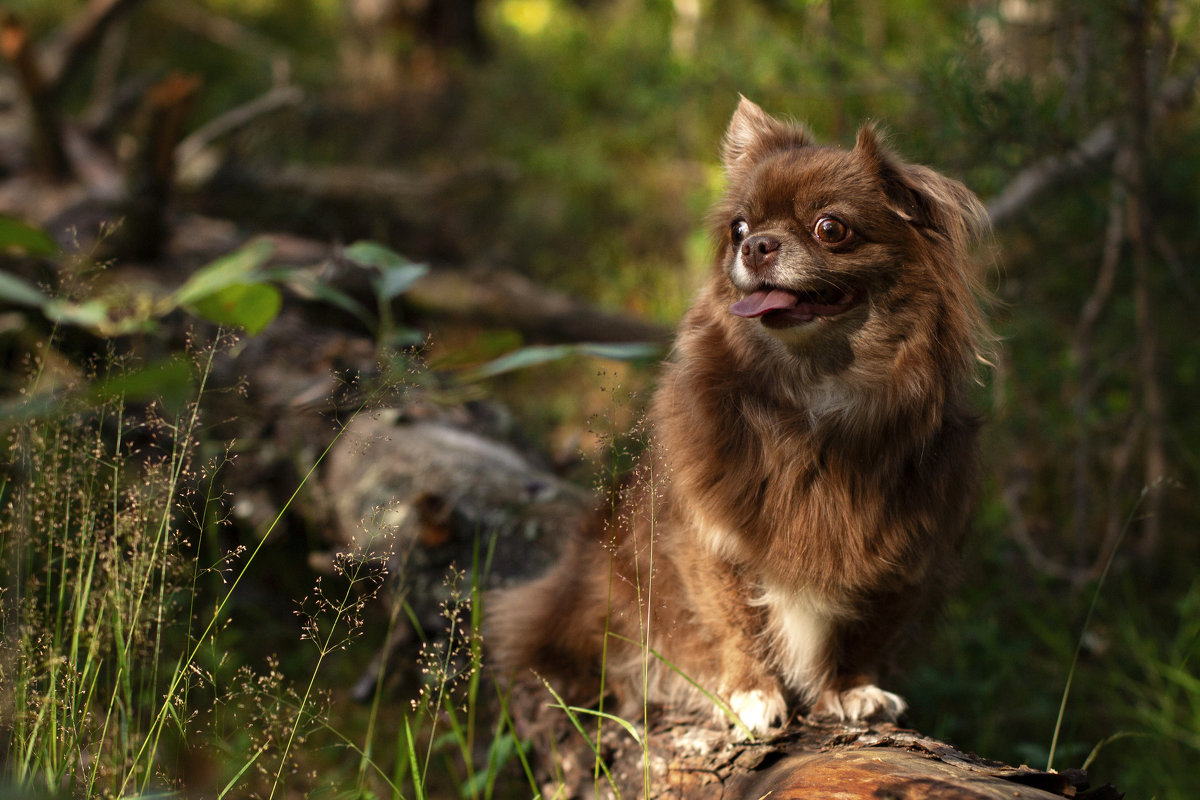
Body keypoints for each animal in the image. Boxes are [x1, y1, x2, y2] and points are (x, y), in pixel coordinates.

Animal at [482, 97, 988, 734]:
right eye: (738, 229)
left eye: (831, 229)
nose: (757, 245)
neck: (812, 399)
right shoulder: (708, 538)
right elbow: (736, 622)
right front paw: (750, 692)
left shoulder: (902, 557)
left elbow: (865, 632)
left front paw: (851, 690)